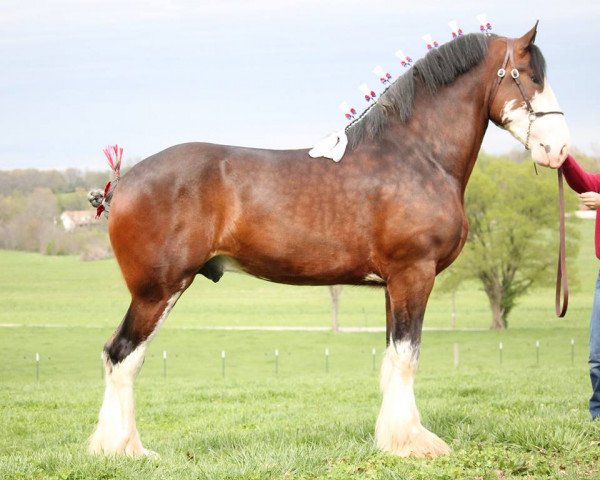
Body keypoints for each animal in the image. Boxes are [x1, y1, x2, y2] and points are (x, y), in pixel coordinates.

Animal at [88, 25, 568, 458]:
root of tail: (122, 182)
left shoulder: (394, 284)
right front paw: (413, 443)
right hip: (157, 291)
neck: (416, 154)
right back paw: (124, 449)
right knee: (122, 355)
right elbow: (408, 356)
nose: (560, 149)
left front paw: (391, 440)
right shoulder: (415, 274)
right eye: (531, 76)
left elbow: (392, 358)